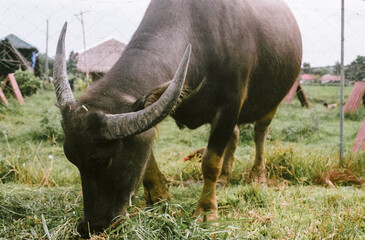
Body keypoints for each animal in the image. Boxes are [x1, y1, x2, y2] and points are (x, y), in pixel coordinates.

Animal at [52, 0, 300, 236]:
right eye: (72, 159)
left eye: (103, 160)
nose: (92, 227)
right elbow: (148, 160)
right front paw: (159, 198)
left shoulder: (230, 104)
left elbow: (210, 162)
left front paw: (207, 212)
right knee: (236, 135)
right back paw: (225, 177)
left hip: (273, 100)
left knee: (260, 134)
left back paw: (258, 176)